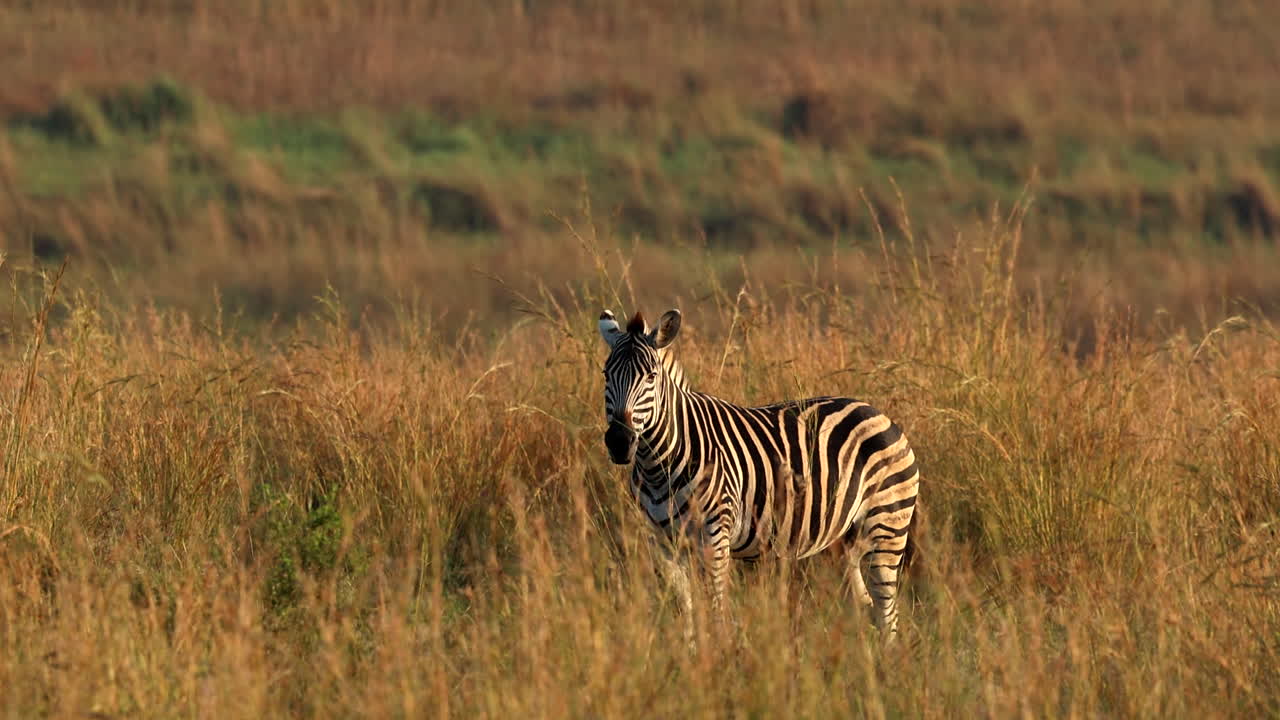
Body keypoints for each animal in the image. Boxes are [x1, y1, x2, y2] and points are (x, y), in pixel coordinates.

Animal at [598, 308, 920, 638]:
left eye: (651, 377)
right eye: (606, 375)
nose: (619, 441)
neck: (658, 466)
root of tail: (877, 412)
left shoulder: (715, 536)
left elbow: (717, 611)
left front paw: (721, 651)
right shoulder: (661, 543)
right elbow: (683, 611)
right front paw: (687, 650)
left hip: (887, 525)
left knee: (887, 612)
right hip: (846, 542)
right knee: (866, 606)